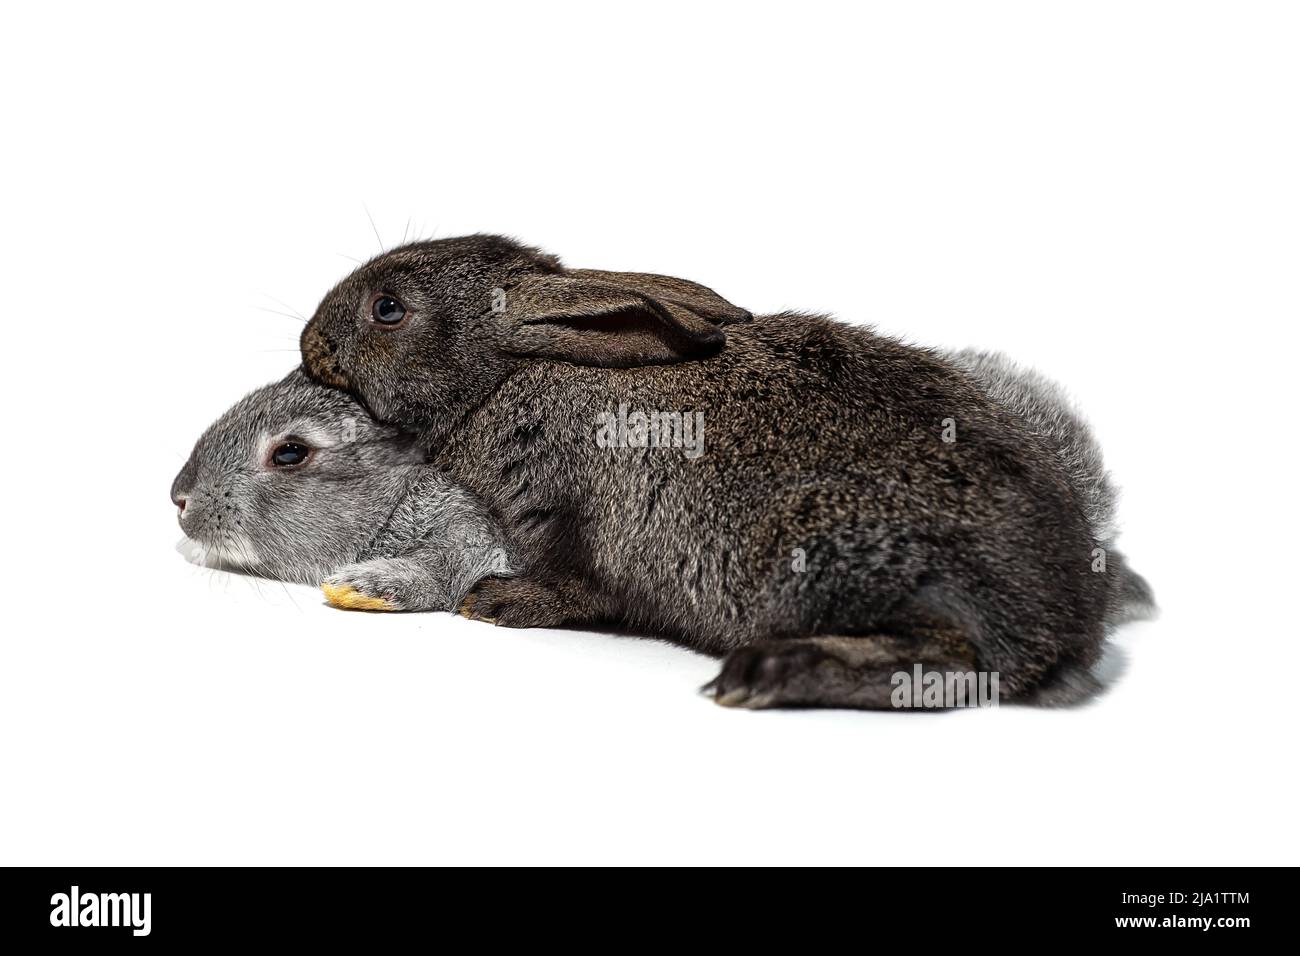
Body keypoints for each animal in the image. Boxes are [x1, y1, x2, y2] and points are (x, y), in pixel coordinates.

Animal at [299, 234, 1152, 709]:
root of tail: (1062, 630)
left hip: (823, 553)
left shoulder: (578, 520)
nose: (311, 343)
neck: (510, 374)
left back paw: (769, 674)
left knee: (951, 664)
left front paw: (497, 601)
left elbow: (573, 584)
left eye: (388, 309)